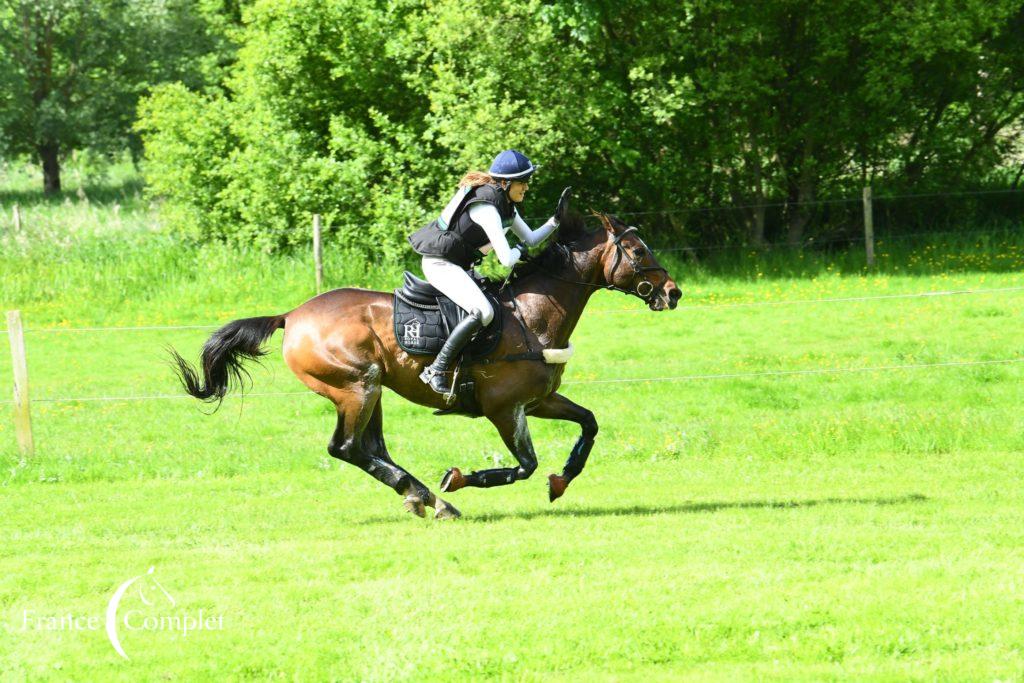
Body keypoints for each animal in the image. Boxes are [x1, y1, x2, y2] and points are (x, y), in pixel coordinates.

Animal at [169, 214, 679, 518]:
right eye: (637, 252)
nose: (672, 292)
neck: (534, 314)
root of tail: (291, 316)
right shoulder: (504, 409)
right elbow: (524, 466)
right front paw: (458, 479)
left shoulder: (539, 401)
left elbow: (588, 424)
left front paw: (562, 480)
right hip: (356, 387)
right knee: (346, 448)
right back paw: (428, 498)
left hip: (371, 390)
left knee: (370, 447)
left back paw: (423, 498)